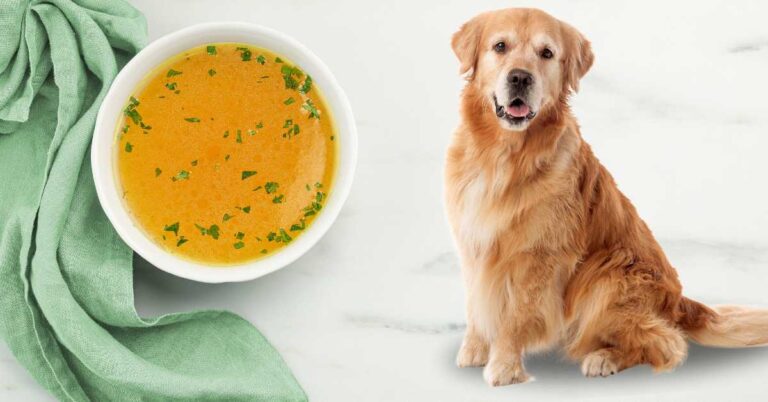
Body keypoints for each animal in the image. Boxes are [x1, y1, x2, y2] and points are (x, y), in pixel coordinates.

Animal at [444, 7, 768, 386]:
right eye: (500, 46)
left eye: (546, 53)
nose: (521, 78)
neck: (503, 156)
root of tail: (680, 302)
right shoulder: (474, 242)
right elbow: (476, 304)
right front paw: (475, 349)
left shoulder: (538, 255)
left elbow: (515, 316)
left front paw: (504, 367)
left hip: (609, 273)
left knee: (664, 342)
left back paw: (604, 358)